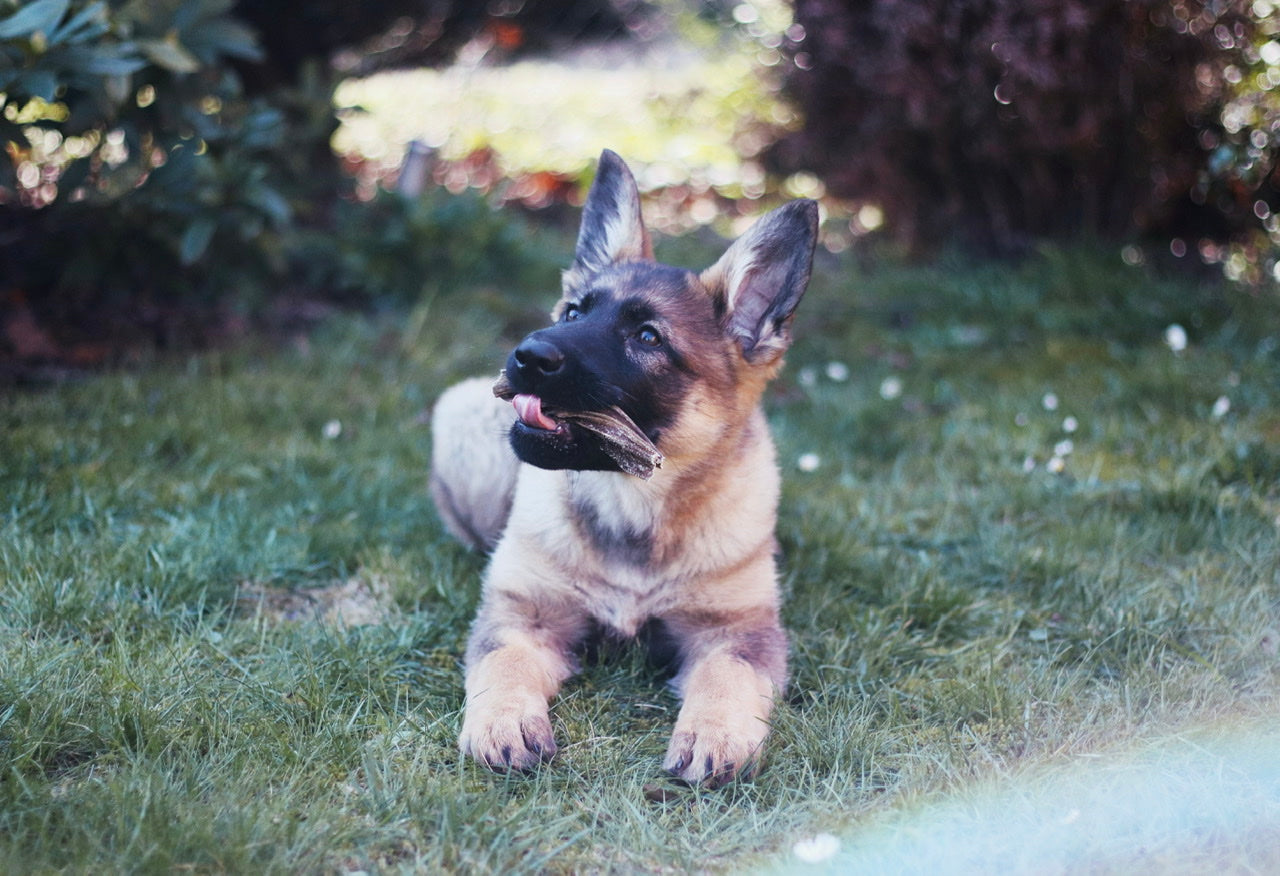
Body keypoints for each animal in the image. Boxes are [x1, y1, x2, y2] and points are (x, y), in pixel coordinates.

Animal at [427, 150, 808, 788]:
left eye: (648, 337)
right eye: (573, 311)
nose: (527, 355)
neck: (632, 502)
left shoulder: (737, 631)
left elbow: (727, 677)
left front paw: (715, 733)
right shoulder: (523, 615)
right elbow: (504, 664)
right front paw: (505, 722)